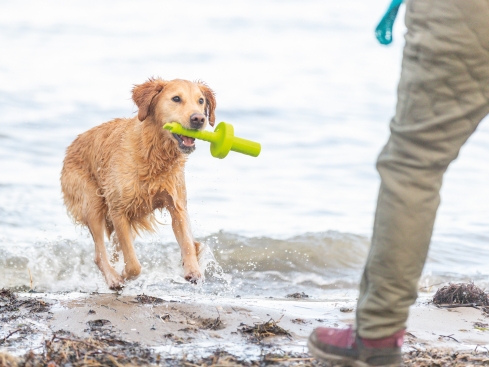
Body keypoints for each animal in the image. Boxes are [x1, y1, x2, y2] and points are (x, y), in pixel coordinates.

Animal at [59, 79, 215, 292]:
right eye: (176, 98)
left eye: (201, 101)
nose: (199, 119)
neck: (153, 152)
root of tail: (71, 145)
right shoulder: (118, 210)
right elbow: (134, 265)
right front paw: (124, 274)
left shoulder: (176, 204)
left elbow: (188, 242)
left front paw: (193, 269)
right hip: (92, 203)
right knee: (99, 254)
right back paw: (113, 279)